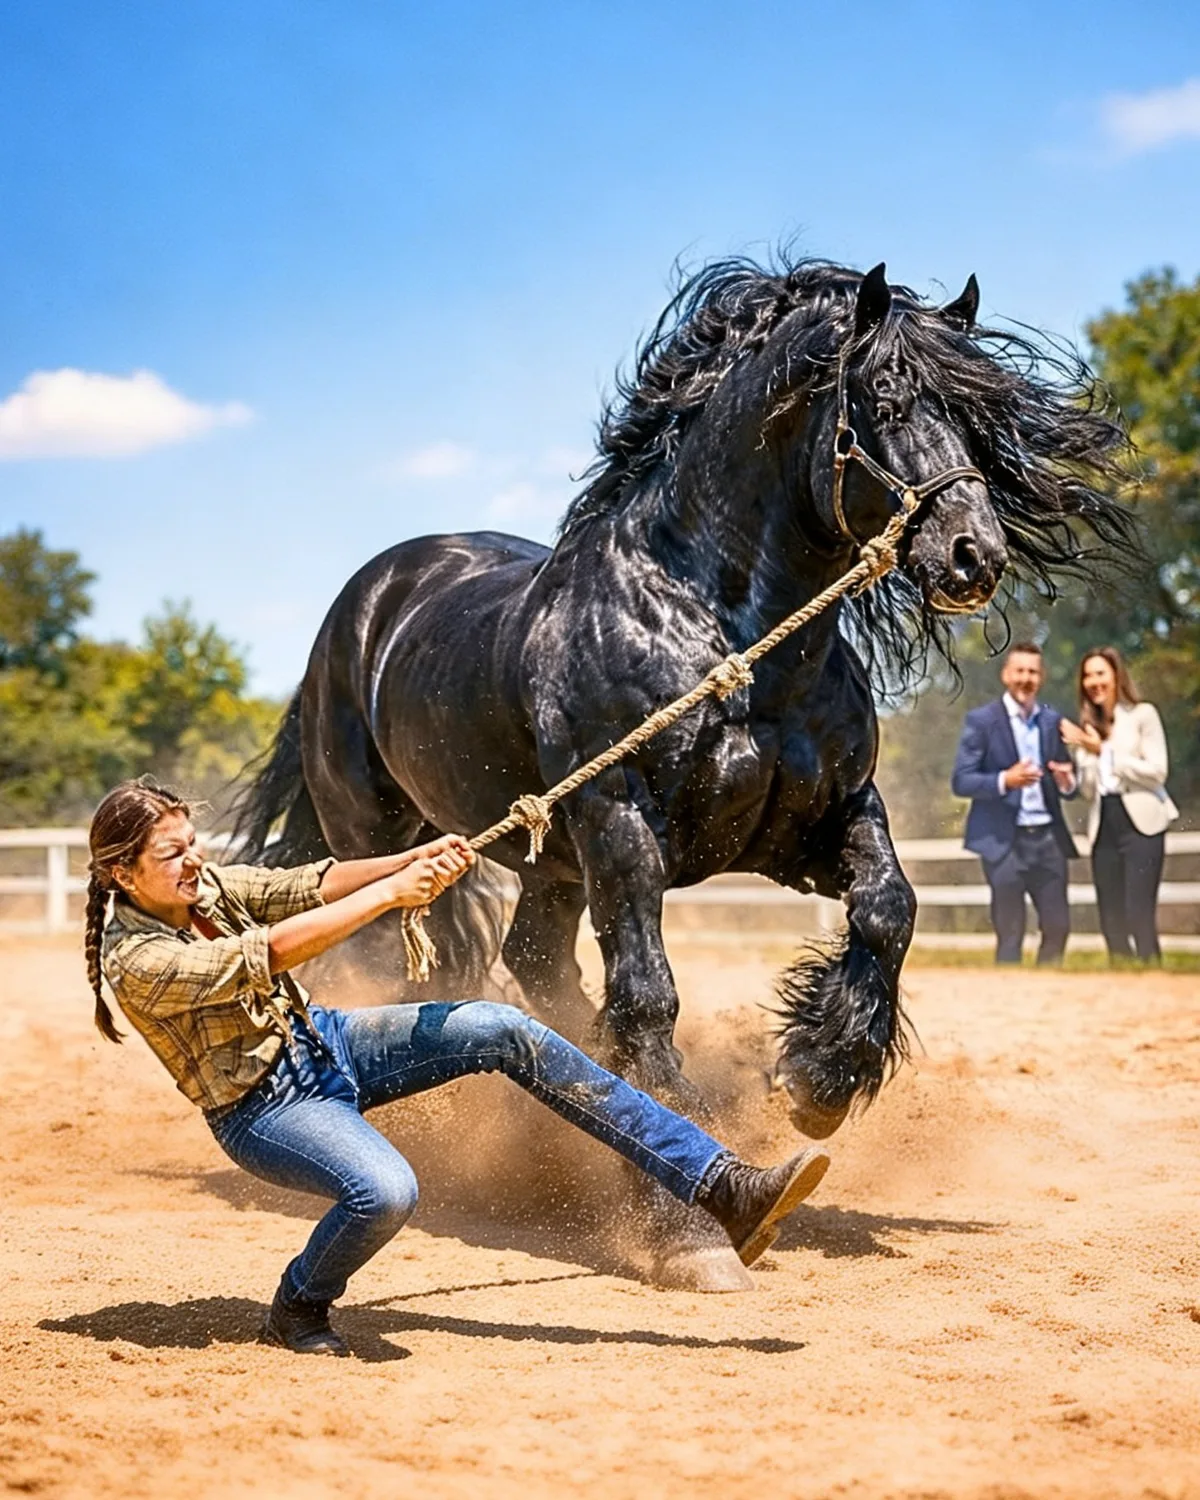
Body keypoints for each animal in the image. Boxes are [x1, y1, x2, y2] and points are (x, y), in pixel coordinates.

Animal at [234, 257, 1133, 1290]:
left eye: (979, 415)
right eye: (886, 399)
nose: (973, 556)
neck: (721, 632)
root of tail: (363, 603)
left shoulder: (821, 822)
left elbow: (888, 910)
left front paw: (817, 1078)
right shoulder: (623, 830)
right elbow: (650, 995)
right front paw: (684, 1230)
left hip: (553, 865)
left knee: (535, 963)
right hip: (389, 844)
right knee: (409, 971)